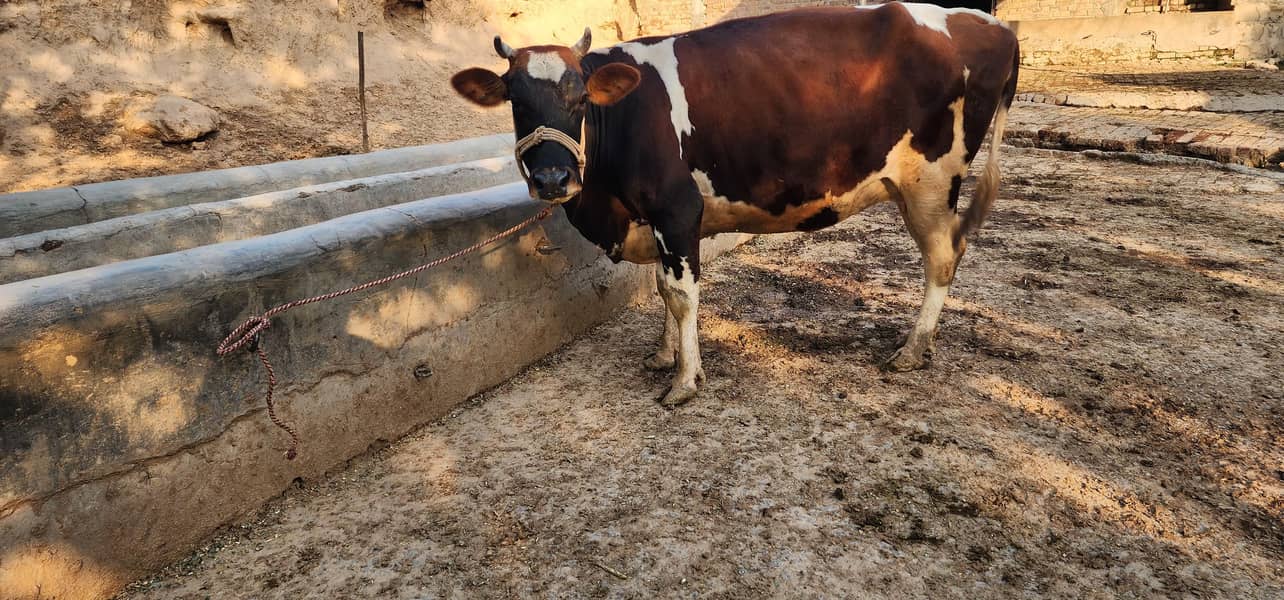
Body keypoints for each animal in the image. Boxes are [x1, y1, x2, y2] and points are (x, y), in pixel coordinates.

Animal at [451, 2, 1019, 407]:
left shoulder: (677, 208)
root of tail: (995, 25)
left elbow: (682, 295)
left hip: (932, 181)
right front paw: (664, 354)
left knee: (942, 259)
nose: (552, 178)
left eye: (580, 100)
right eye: (516, 102)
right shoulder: (657, 220)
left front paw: (685, 379)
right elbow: (662, 287)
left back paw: (912, 349)